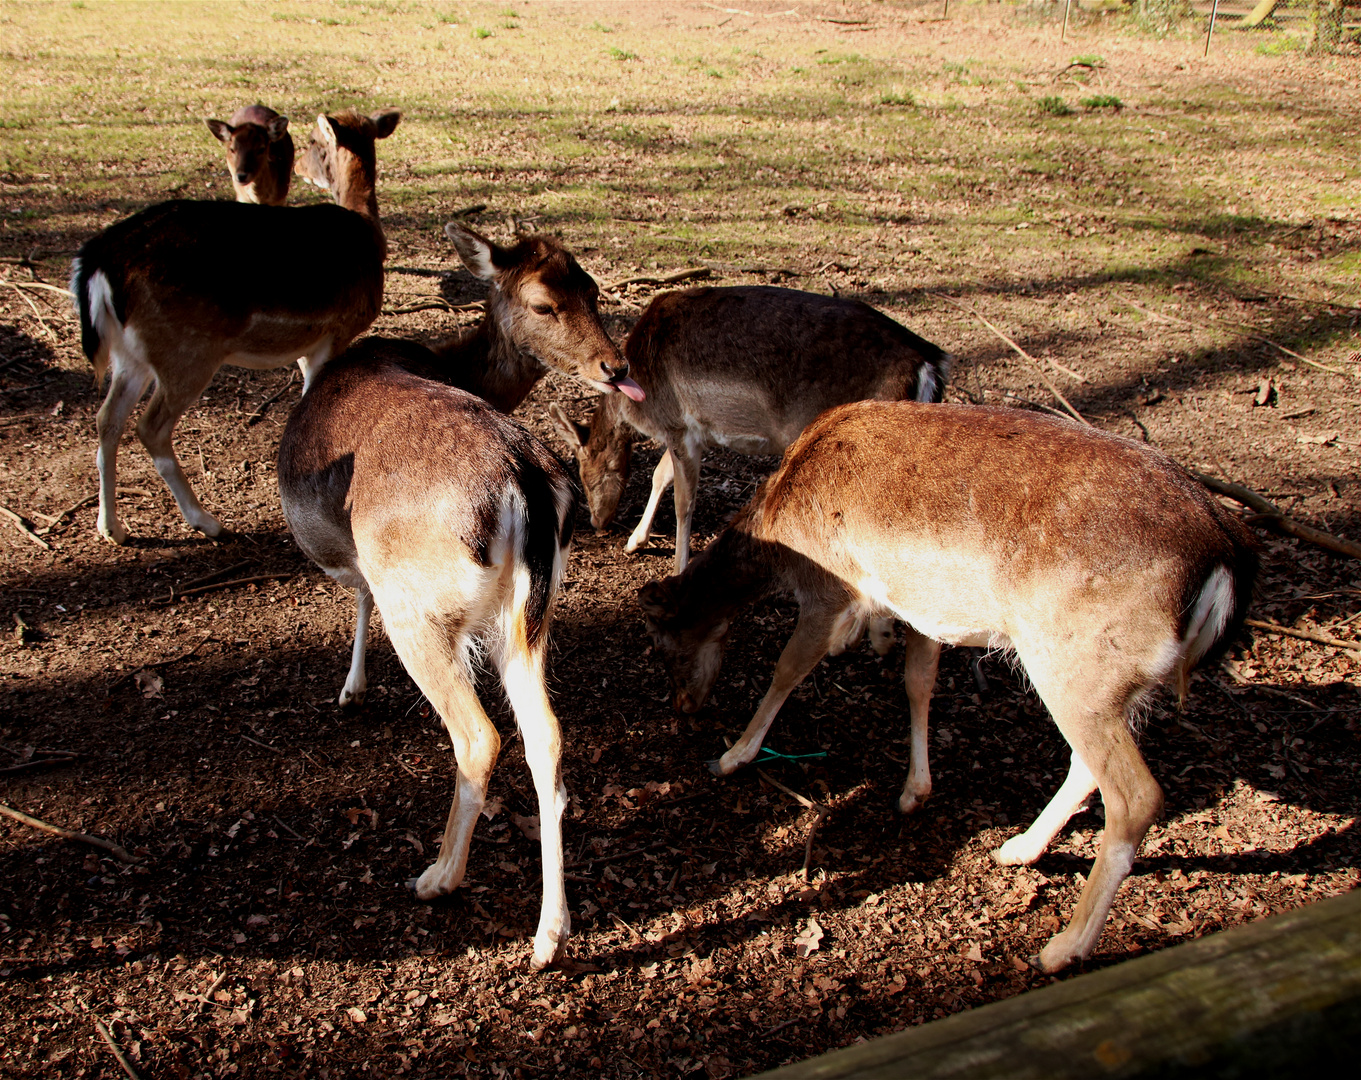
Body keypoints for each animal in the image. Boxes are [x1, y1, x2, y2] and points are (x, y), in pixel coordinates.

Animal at [70, 106, 397, 544]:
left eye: (311, 142)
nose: (299, 167)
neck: (368, 230)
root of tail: (100, 260)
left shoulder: (311, 345)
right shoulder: (337, 330)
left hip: (131, 355)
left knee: (107, 419)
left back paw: (112, 527)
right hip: (185, 352)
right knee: (150, 427)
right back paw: (206, 521)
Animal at [276, 338, 574, 968]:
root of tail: (526, 486)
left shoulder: (369, 570)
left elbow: (360, 594)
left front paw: (351, 689)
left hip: (419, 611)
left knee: (480, 736)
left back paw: (438, 877)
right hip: (526, 621)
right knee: (547, 735)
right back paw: (548, 935)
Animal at [547, 281, 952, 576]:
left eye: (584, 473)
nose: (598, 523)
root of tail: (930, 362)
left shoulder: (678, 425)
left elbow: (683, 501)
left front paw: (678, 568)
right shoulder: (695, 432)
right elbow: (661, 474)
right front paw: (634, 541)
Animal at [636, 399, 1252, 973]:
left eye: (663, 645)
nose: (684, 706)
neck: (780, 519)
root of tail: (1225, 560)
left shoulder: (831, 589)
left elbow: (786, 671)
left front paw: (733, 756)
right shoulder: (924, 611)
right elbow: (918, 683)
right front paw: (915, 791)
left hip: (1077, 663)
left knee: (1137, 794)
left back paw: (1063, 946)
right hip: (1113, 685)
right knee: (1087, 768)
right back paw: (1019, 849)